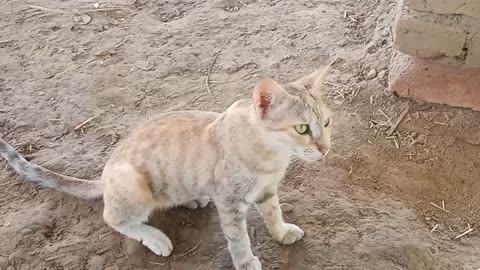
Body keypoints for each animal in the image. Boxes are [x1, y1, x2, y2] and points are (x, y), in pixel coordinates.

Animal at [0, 63, 332, 270]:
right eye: (302, 128)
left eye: (327, 123)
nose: (325, 148)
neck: (271, 157)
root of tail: (104, 179)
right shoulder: (230, 202)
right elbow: (238, 239)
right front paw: (246, 261)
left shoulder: (266, 190)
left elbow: (274, 214)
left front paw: (281, 233)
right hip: (131, 182)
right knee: (113, 217)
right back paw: (154, 237)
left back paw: (194, 199)